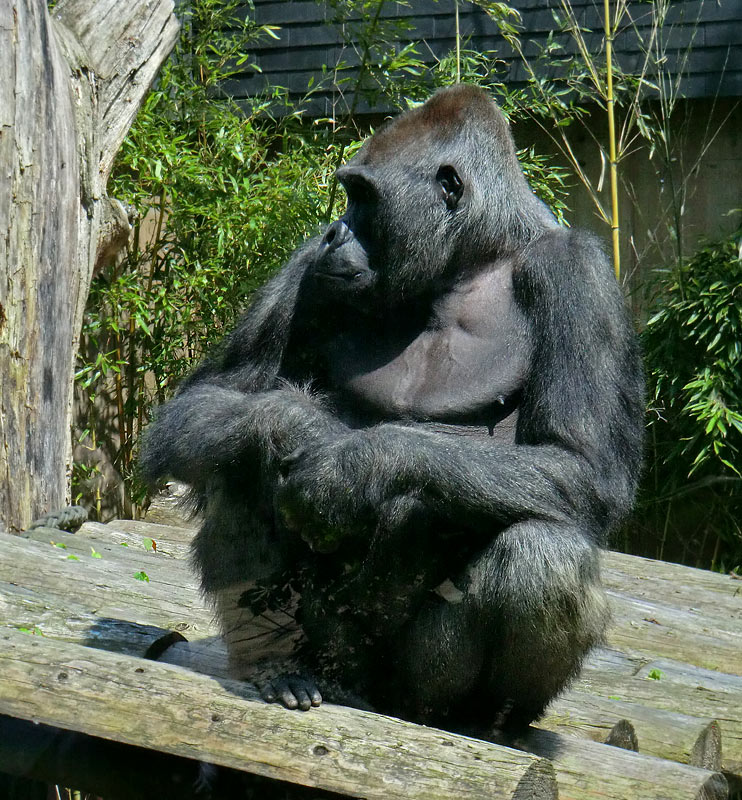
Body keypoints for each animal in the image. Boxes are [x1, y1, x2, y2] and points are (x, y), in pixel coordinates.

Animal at [141, 84, 644, 736]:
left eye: (363, 197)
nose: (334, 230)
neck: (474, 256)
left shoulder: (578, 275)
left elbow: (582, 464)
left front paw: (356, 464)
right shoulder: (308, 264)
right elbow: (211, 399)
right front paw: (297, 423)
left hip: (410, 692)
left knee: (544, 553)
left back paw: (485, 720)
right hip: (332, 656)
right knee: (237, 451)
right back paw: (279, 665)